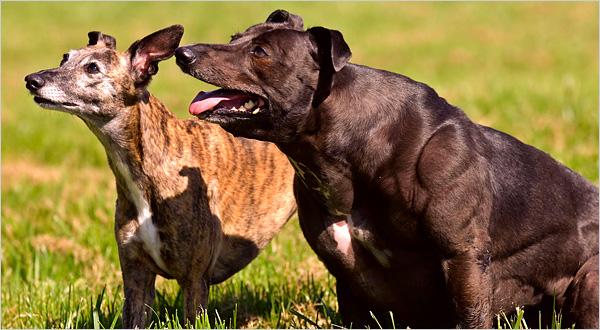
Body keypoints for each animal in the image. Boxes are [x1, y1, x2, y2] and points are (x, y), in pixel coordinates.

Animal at [176, 9, 596, 328]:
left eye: (260, 51)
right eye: (235, 37)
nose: (183, 53)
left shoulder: (463, 258)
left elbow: (471, 314)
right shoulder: (345, 274)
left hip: (589, 282)